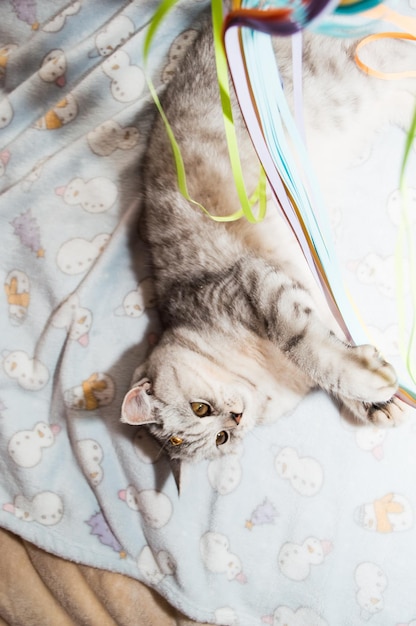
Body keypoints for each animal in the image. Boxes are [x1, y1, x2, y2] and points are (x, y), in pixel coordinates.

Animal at [119, 6, 412, 464]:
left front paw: (368, 382)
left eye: (199, 408)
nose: (235, 419)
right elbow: (334, 344)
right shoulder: (302, 295)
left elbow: (309, 348)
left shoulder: (256, 284)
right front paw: (377, 397)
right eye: (221, 439)